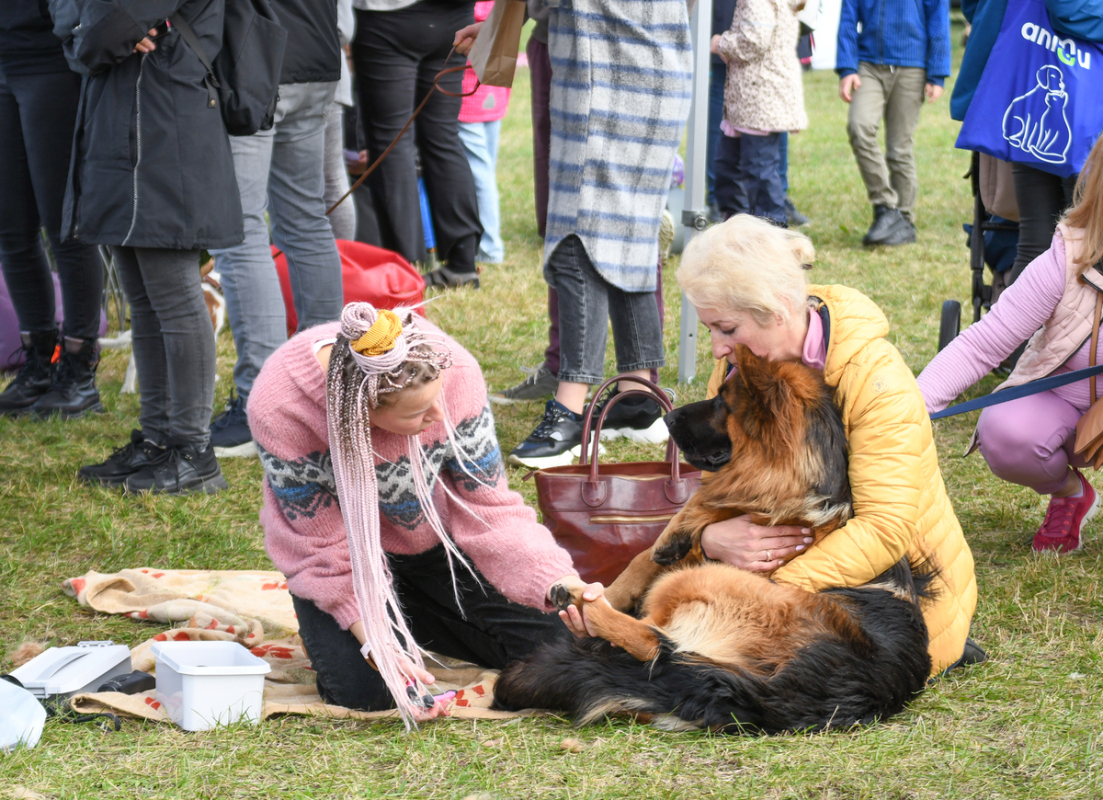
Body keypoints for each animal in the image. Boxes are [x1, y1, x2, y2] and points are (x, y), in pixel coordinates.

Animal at [496, 346, 935, 732]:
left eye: (724, 401)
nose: (668, 416)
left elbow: (699, 511)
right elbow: (655, 545)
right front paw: (653, 554)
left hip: (703, 582)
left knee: (652, 643)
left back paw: (580, 600)